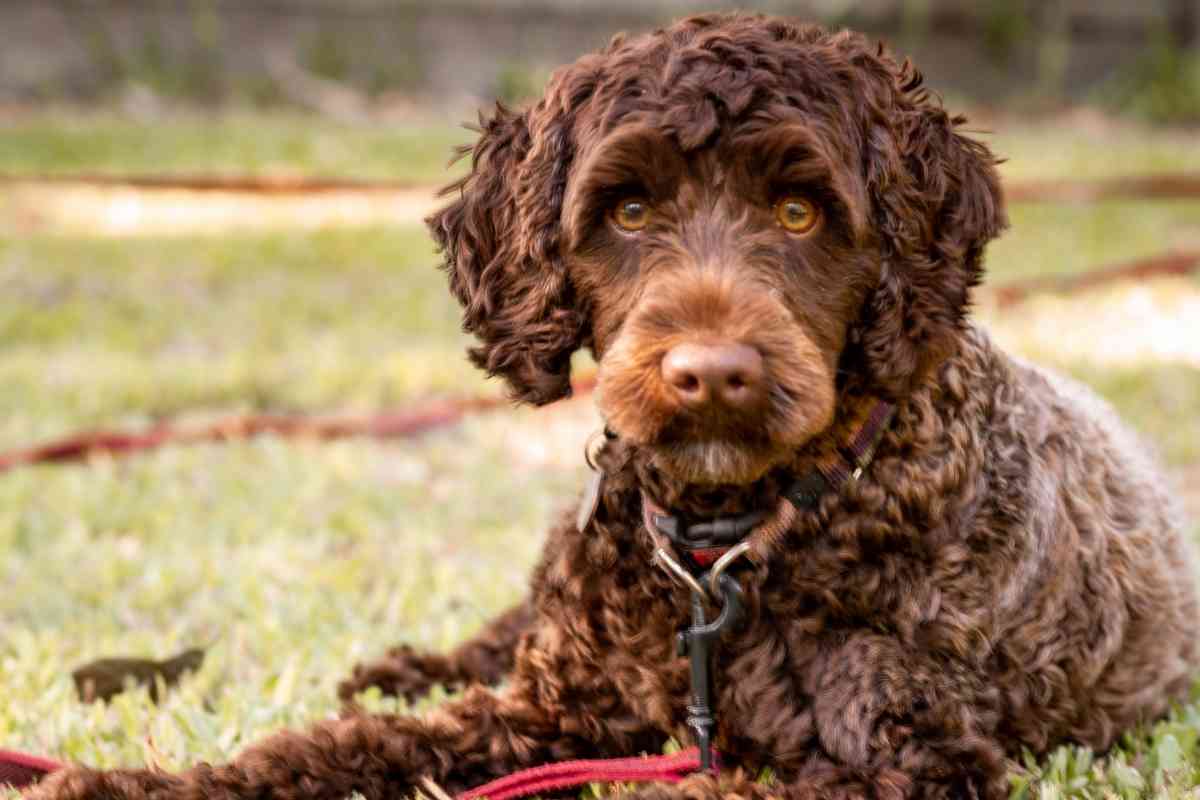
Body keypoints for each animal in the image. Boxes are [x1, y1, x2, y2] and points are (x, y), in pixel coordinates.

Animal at [30, 12, 1200, 800]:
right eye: (629, 210)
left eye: (800, 210)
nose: (711, 373)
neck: (734, 545)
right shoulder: (553, 708)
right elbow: (336, 752)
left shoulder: (910, 761)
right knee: (497, 635)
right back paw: (394, 667)